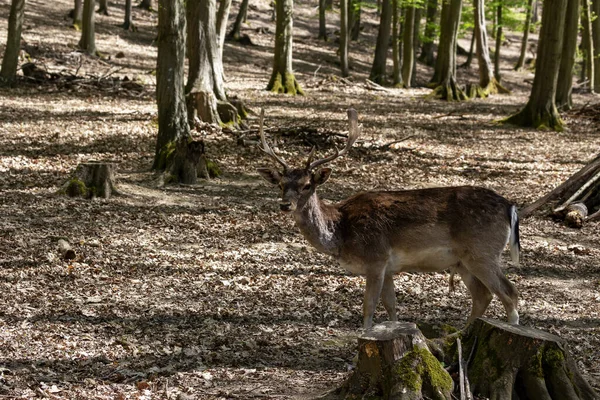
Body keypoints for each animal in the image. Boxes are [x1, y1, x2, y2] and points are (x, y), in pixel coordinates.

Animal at [258, 108, 520, 328]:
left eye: (307, 185)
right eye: (281, 185)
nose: (285, 204)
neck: (341, 233)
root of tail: (510, 206)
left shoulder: (376, 258)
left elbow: (369, 307)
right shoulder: (389, 267)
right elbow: (391, 306)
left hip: (482, 251)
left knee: (509, 292)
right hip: (463, 261)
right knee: (483, 295)